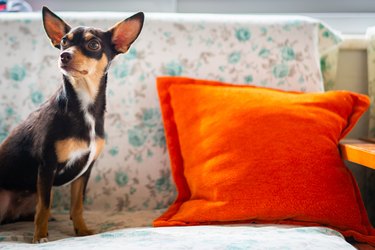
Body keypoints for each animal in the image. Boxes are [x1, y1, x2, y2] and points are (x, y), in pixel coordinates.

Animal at [0, 6, 144, 243]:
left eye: (93, 44)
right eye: (63, 42)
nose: (64, 55)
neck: (84, 106)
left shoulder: (85, 170)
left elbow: (77, 206)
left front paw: (82, 231)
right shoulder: (47, 167)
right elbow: (45, 207)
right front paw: (40, 237)